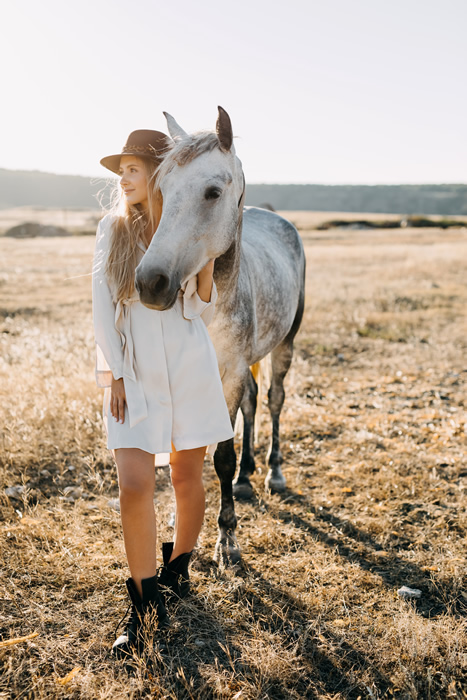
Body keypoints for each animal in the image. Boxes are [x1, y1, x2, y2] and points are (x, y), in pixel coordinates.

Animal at [135, 106, 308, 564]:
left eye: (212, 192)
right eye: (162, 188)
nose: (150, 282)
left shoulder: (228, 374)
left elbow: (222, 457)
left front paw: (226, 538)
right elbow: (186, 455)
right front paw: (181, 524)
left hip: (285, 344)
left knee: (273, 398)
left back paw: (272, 472)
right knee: (253, 401)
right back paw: (248, 477)